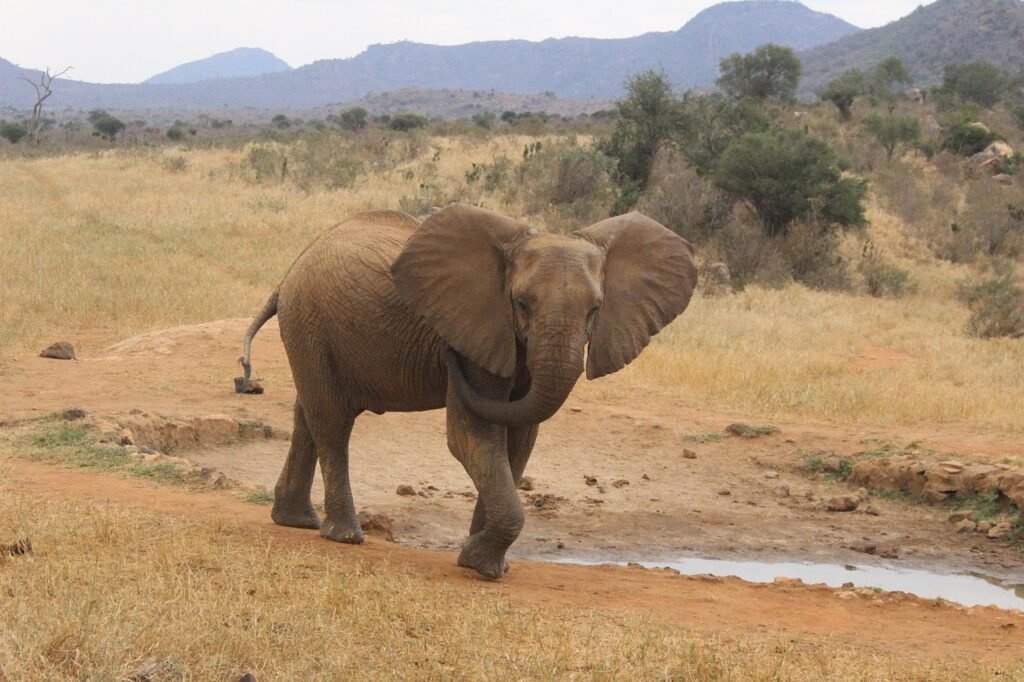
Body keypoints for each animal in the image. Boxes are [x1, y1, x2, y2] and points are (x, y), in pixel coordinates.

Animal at [237, 204, 696, 579]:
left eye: (596, 310)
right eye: (521, 303)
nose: (445, 353)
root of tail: (288, 274)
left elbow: (518, 440)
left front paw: (482, 560)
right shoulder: (480, 330)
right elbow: (472, 436)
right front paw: (480, 564)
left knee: (309, 414)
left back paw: (296, 521)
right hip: (310, 320)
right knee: (332, 421)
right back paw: (344, 535)